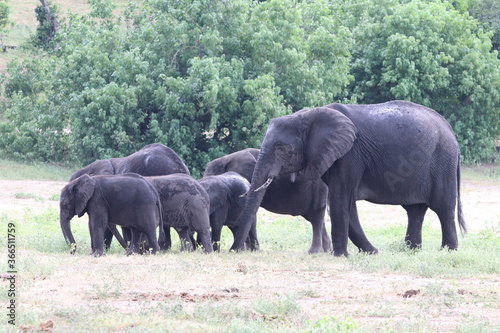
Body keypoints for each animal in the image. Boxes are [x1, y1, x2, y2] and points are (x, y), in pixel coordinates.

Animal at [204, 148, 332, 252]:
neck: (225, 159)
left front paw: (248, 250)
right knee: (314, 217)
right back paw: (327, 251)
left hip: (318, 187)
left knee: (316, 215)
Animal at [232, 100, 466, 255]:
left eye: (280, 147)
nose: (233, 250)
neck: (308, 116)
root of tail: (450, 129)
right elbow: (347, 203)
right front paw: (371, 252)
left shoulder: (350, 155)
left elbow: (340, 198)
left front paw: (340, 256)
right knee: (415, 211)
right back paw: (412, 250)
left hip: (442, 160)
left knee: (444, 208)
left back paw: (448, 251)